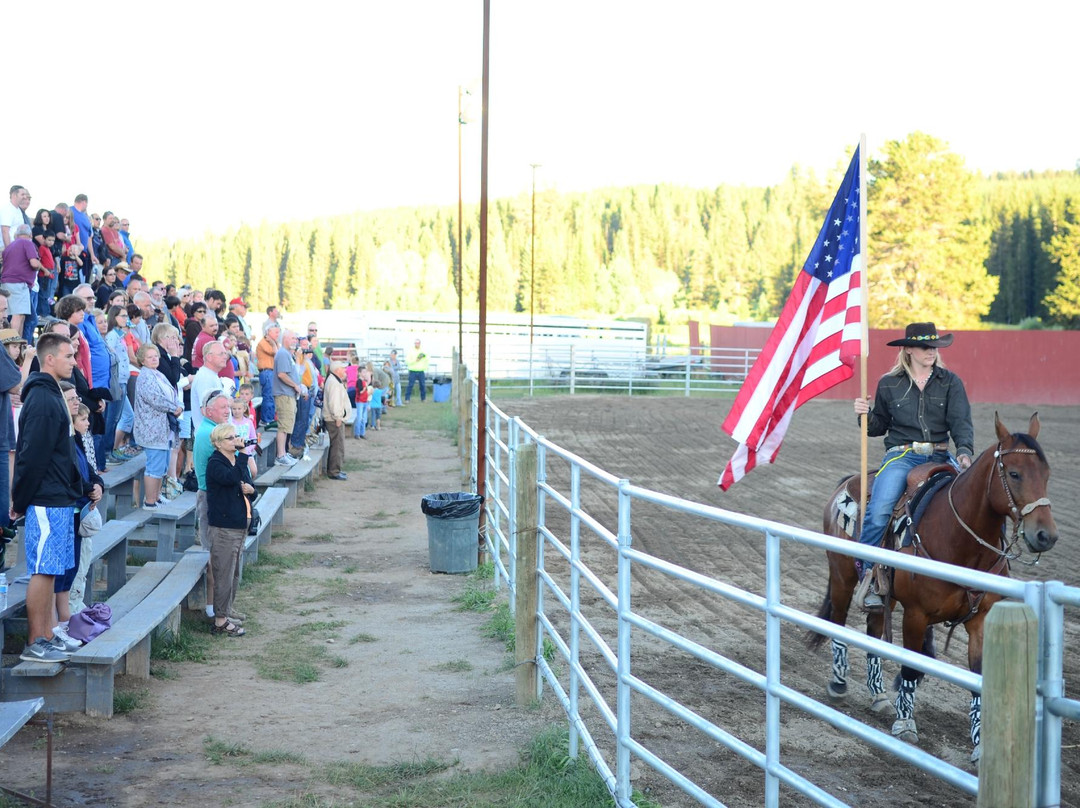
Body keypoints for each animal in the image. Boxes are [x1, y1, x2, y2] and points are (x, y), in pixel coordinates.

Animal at [812, 412, 1054, 760]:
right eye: (1015, 473)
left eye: (1046, 474)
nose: (1046, 535)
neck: (961, 540)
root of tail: (846, 484)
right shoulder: (916, 615)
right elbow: (911, 668)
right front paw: (905, 724)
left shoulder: (981, 620)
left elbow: (978, 678)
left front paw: (980, 743)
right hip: (843, 576)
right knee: (839, 622)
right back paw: (839, 684)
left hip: (884, 595)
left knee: (873, 628)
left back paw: (878, 695)